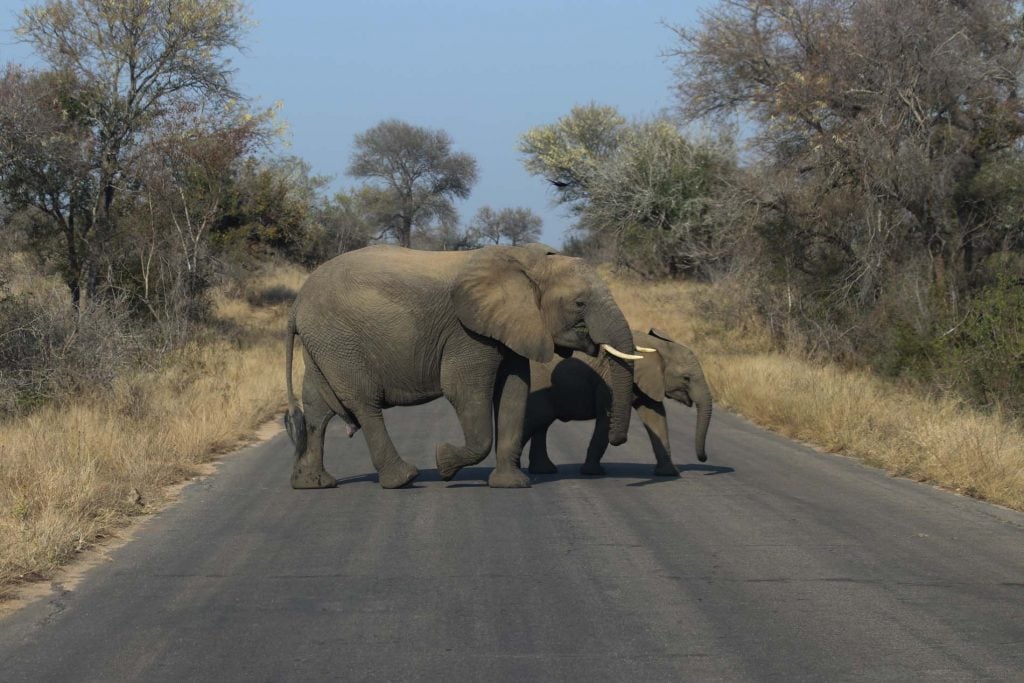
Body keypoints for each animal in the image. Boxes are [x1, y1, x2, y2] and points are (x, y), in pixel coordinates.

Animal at [284, 242, 638, 489]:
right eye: (580, 303)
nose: (619, 440)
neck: (526, 260)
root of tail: (297, 303)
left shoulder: (510, 328)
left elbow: (514, 392)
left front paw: (511, 485)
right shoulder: (468, 333)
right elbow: (464, 392)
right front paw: (444, 464)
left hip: (323, 343)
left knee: (316, 408)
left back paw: (312, 484)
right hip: (339, 341)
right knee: (363, 403)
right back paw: (404, 479)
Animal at [520, 327, 712, 479]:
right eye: (686, 378)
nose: (703, 458)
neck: (656, 345)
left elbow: (655, 418)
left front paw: (670, 474)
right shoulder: (610, 381)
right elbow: (606, 420)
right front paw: (593, 473)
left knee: (541, 423)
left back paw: (543, 471)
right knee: (536, 419)